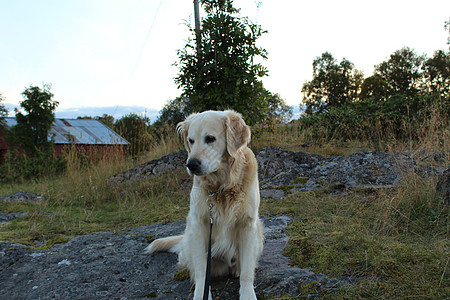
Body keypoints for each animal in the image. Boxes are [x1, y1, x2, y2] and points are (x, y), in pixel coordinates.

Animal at [144, 110, 264, 300]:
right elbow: (201, 269)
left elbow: (247, 271)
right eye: (191, 140)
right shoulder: (199, 225)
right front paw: (201, 293)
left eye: (210, 138)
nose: (191, 164)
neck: (222, 187)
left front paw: (247, 294)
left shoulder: (248, 224)